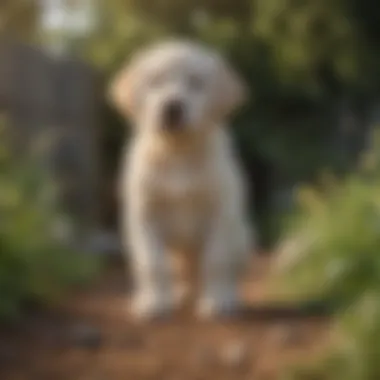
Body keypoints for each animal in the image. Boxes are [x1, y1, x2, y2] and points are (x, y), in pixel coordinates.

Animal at [108, 39, 254, 320]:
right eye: (155, 82)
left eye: (196, 83)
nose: (172, 107)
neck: (177, 153)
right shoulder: (144, 215)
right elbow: (152, 263)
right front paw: (154, 302)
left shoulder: (220, 212)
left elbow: (216, 260)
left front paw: (217, 300)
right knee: (178, 272)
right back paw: (177, 292)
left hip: (242, 236)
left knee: (227, 268)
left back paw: (229, 295)